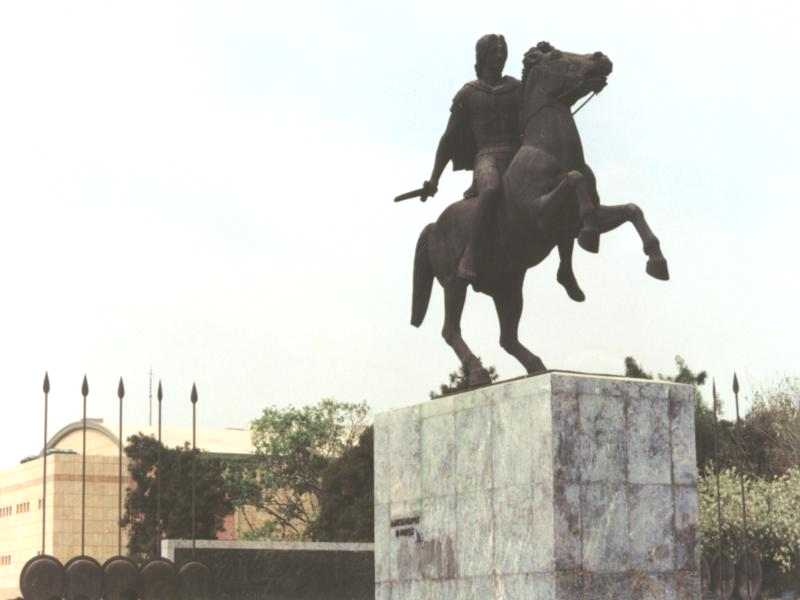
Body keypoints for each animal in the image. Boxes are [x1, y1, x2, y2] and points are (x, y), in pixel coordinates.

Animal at [412, 43, 668, 390]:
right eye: (557, 56)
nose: (601, 58)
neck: (549, 150)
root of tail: (433, 227)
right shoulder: (540, 215)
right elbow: (574, 179)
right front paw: (590, 237)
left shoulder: (576, 220)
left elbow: (630, 209)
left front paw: (656, 261)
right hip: (454, 284)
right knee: (451, 330)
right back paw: (478, 374)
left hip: (508, 288)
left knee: (507, 337)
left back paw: (535, 363)